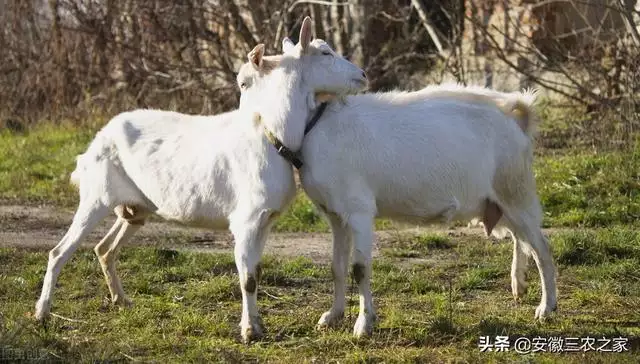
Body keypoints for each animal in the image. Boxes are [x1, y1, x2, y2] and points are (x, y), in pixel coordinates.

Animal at [33, 16, 364, 342]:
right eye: (325, 53)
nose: (362, 75)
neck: (271, 135)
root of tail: (97, 140)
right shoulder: (245, 220)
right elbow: (247, 278)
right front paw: (248, 331)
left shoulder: (265, 220)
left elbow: (256, 272)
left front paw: (258, 325)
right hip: (96, 196)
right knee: (59, 252)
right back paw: (42, 313)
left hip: (134, 209)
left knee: (104, 248)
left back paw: (121, 301)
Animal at [242, 35, 556, 336]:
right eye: (325, 53)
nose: (363, 74)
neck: (316, 126)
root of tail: (517, 116)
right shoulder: (335, 215)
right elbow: (337, 267)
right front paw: (332, 316)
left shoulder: (359, 210)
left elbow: (360, 268)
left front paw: (363, 325)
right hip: (502, 202)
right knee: (521, 240)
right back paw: (519, 286)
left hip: (515, 193)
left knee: (542, 248)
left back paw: (547, 308)